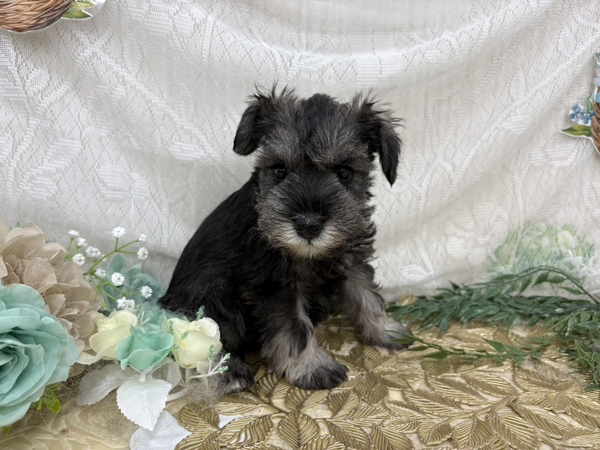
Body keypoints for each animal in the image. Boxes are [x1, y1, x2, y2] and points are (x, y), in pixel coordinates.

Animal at [160, 88, 411, 393]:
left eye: (345, 172)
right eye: (280, 170)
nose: (308, 225)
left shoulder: (352, 260)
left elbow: (368, 296)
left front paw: (385, 329)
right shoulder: (275, 286)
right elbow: (295, 328)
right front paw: (312, 367)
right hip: (209, 295)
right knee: (204, 339)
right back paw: (229, 373)